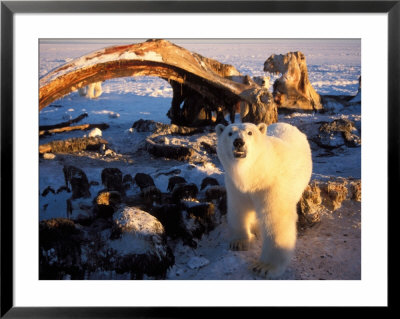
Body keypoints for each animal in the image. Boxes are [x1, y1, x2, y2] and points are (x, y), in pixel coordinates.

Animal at [216, 122, 312, 280]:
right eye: (230, 133)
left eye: (250, 132)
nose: (238, 142)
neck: (255, 173)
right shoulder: (236, 186)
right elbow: (238, 208)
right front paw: (239, 242)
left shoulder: (271, 185)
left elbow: (276, 220)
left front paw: (264, 267)